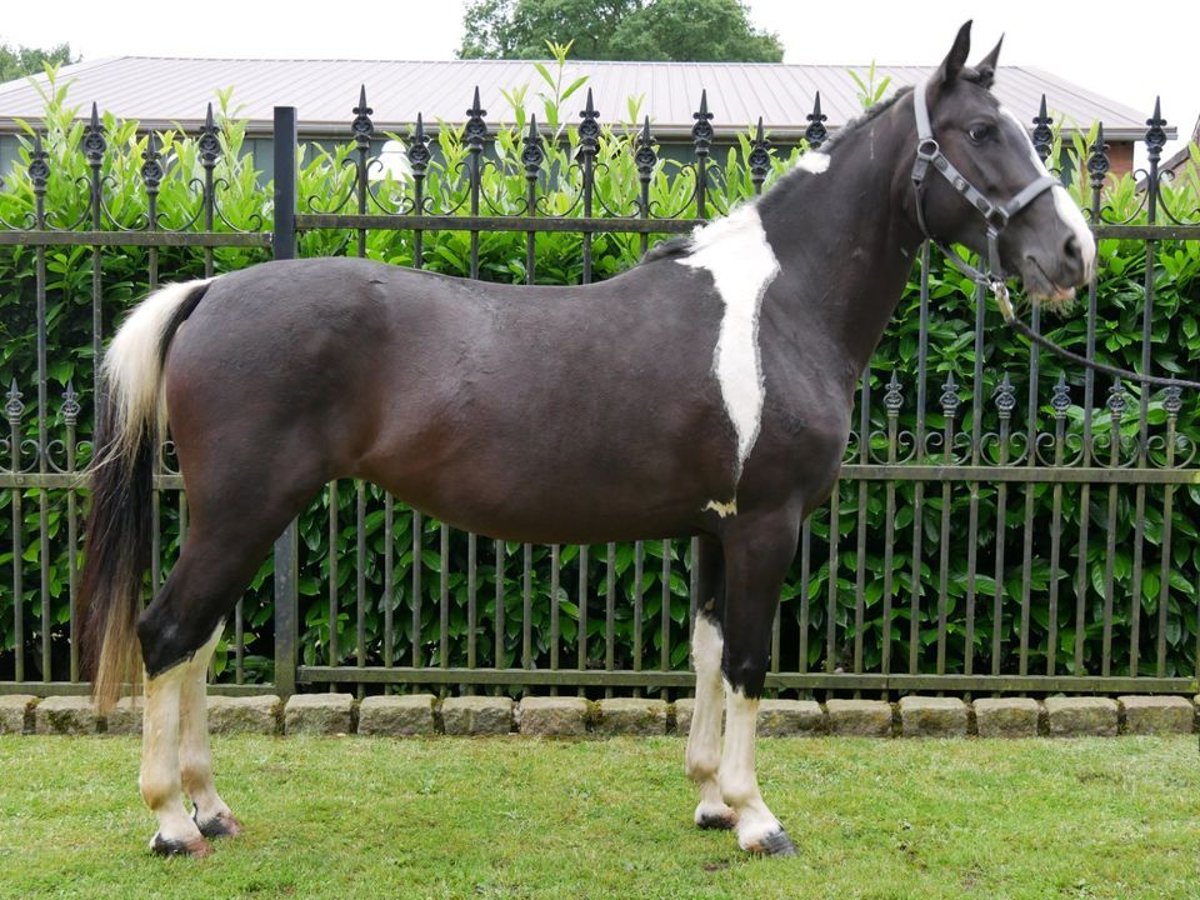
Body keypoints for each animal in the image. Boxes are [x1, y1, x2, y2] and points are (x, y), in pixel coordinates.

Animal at [79, 21, 1099, 859]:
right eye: (982, 132)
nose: (1074, 255)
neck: (779, 305)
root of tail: (210, 291)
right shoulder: (766, 523)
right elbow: (752, 664)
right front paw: (756, 817)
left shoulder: (714, 528)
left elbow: (709, 655)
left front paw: (710, 801)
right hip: (243, 510)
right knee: (168, 635)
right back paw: (172, 822)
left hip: (248, 514)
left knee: (199, 642)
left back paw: (212, 809)